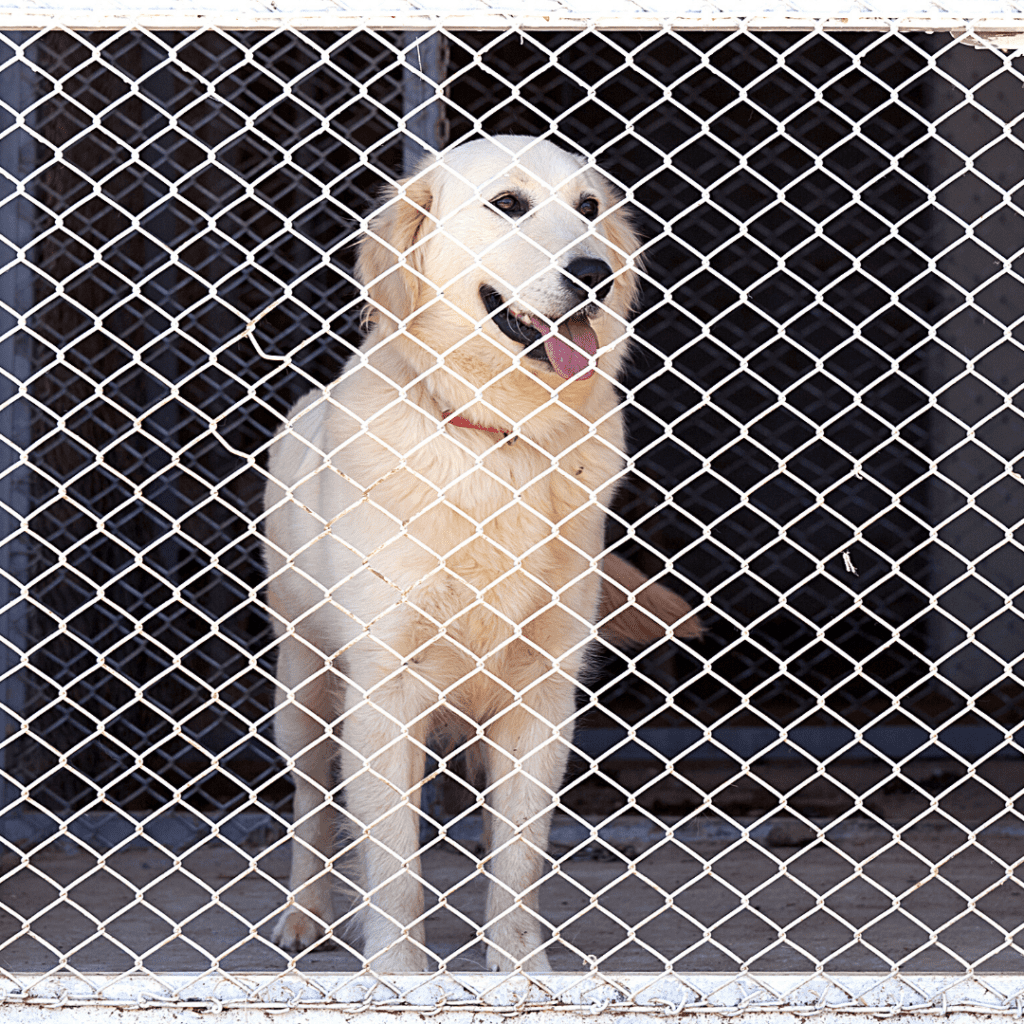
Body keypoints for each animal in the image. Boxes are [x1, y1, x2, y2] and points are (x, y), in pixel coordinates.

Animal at [260, 132, 700, 970]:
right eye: (509, 204)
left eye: (588, 207)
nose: (595, 273)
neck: (496, 440)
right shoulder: (384, 687)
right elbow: (394, 863)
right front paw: (397, 967)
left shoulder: (543, 690)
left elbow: (519, 858)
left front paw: (521, 965)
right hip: (303, 682)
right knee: (310, 799)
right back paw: (305, 915)